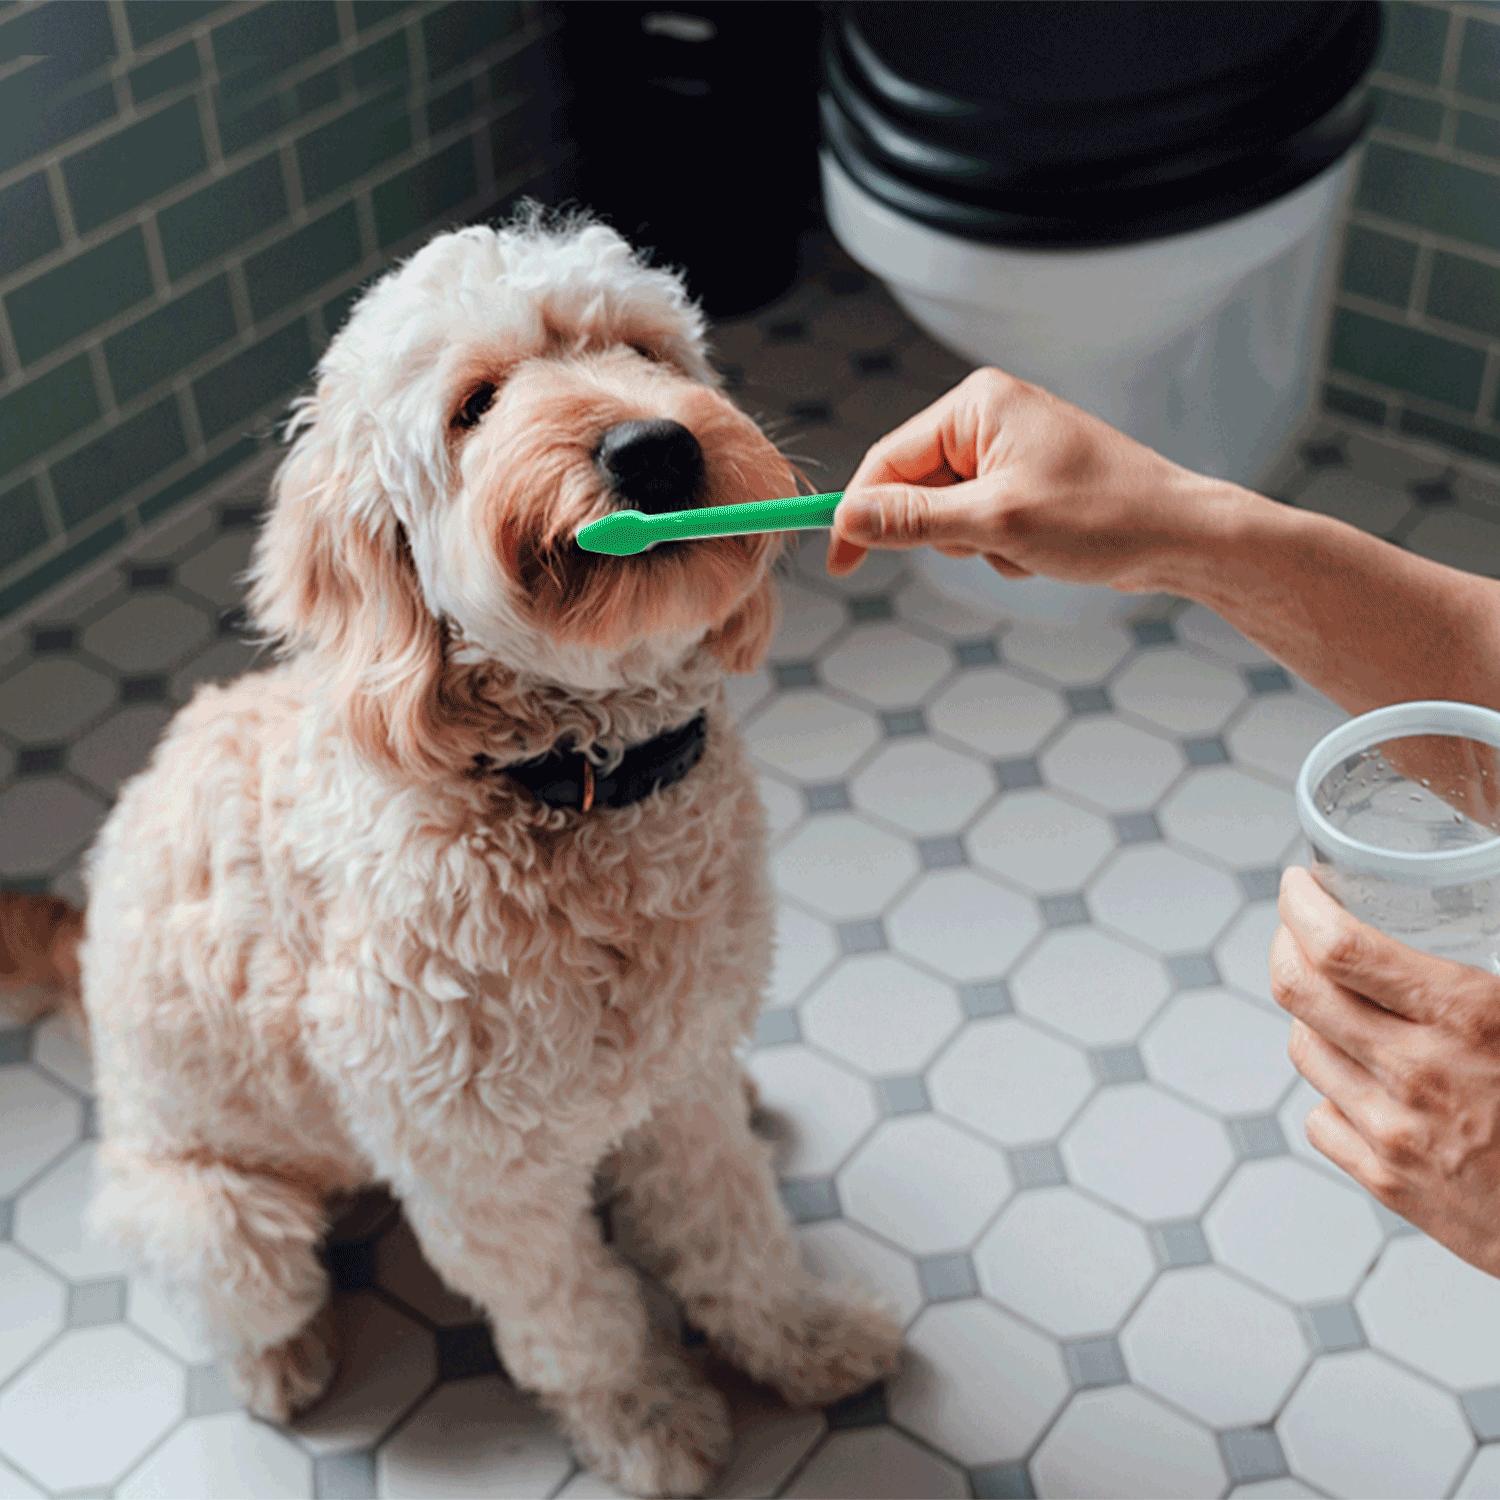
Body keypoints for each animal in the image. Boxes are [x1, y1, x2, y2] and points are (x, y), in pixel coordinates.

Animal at [2, 214, 900, 1500]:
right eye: (474, 405)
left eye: (643, 350)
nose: (652, 449)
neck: (577, 790)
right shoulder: (482, 1174)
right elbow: (574, 1315)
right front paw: (642, 1418)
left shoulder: (678, 1085)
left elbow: (734, 1232)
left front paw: (802, 1338)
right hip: (220, 1221)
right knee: (243, 1296)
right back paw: (282, 1359)